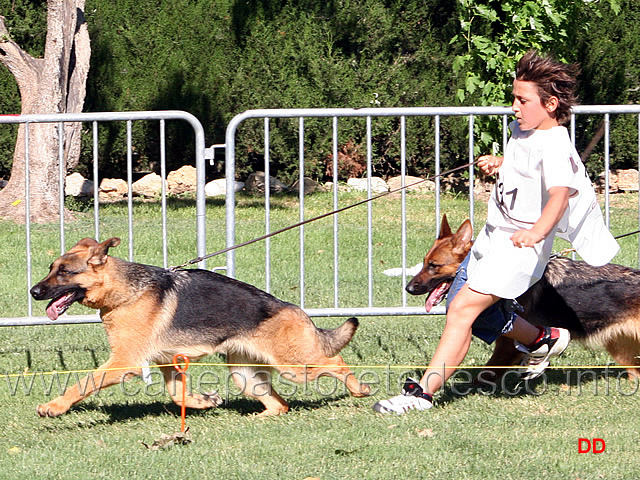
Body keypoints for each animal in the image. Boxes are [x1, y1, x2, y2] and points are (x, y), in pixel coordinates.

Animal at [30, 238, 370, 418]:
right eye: (51, 269)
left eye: (65, 272)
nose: (33, 292)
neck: (126, 290)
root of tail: (294, 309)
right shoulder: (168, 362)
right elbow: (177, 395)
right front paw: (203, 401)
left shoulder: (123, 363)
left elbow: (83, 382)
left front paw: (54, 406)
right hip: (244, 376)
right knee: (280, 405)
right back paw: (255, 419)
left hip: (295, 366)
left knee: (336, 361)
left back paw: (359, 389)